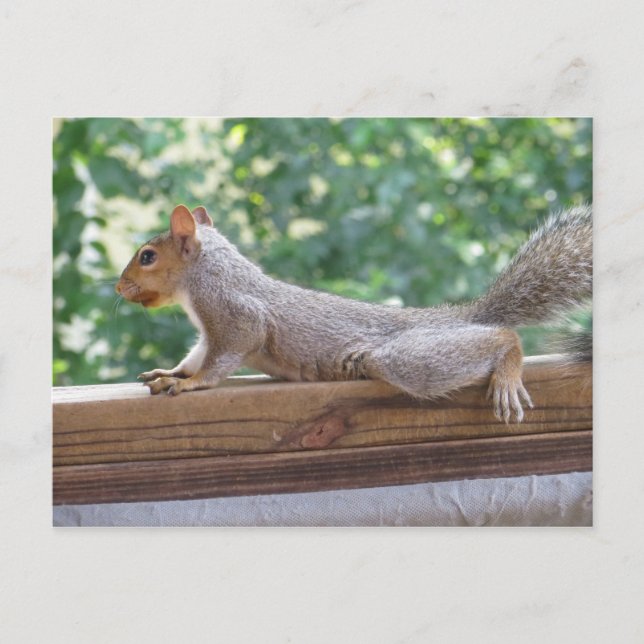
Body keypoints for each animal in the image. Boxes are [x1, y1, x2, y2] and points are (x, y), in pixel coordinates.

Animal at [116, 203, 592, 423]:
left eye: (147, 257)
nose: (119, 287)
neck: (204, 279)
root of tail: (459, 317)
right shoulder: (206, 332)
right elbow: (195, 355)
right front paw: (170, 372)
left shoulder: (235, 317)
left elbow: (219, 361)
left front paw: (190, 384)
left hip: (402, 357)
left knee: (504, 338)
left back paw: (508, 365)